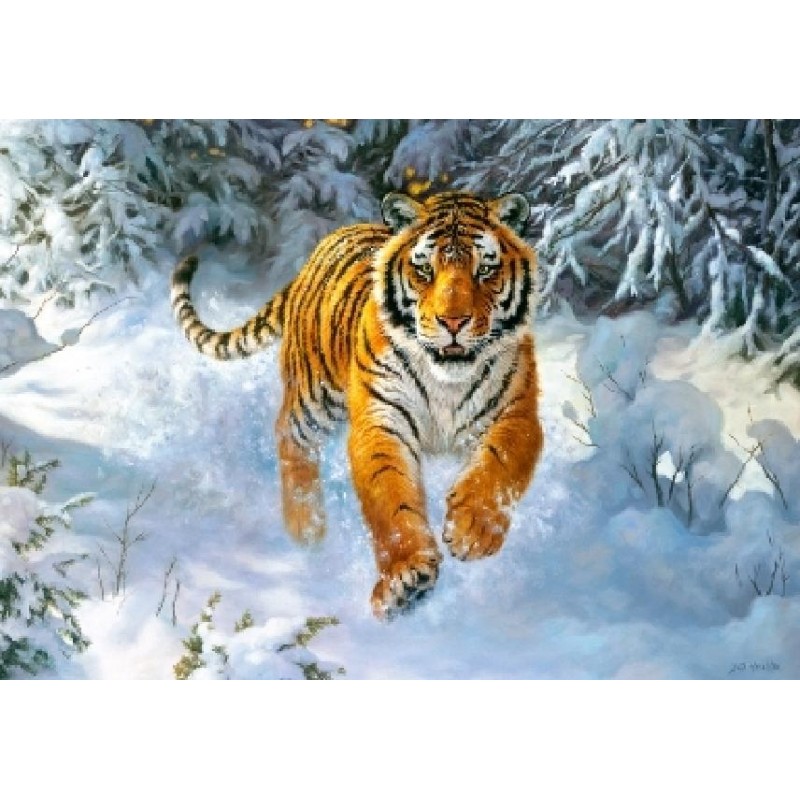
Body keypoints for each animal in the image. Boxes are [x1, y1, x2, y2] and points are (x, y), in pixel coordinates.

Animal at [171, 190, 544, 619]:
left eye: (485, 270)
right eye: (424, 270)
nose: (453, 322)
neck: (446, 380)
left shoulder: (517, 413)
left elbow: (499, 465)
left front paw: (473, 530)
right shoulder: (381, 420)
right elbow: (391, 499)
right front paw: (405, 580)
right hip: (312, 396)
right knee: (289, 436)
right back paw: (306, 528)